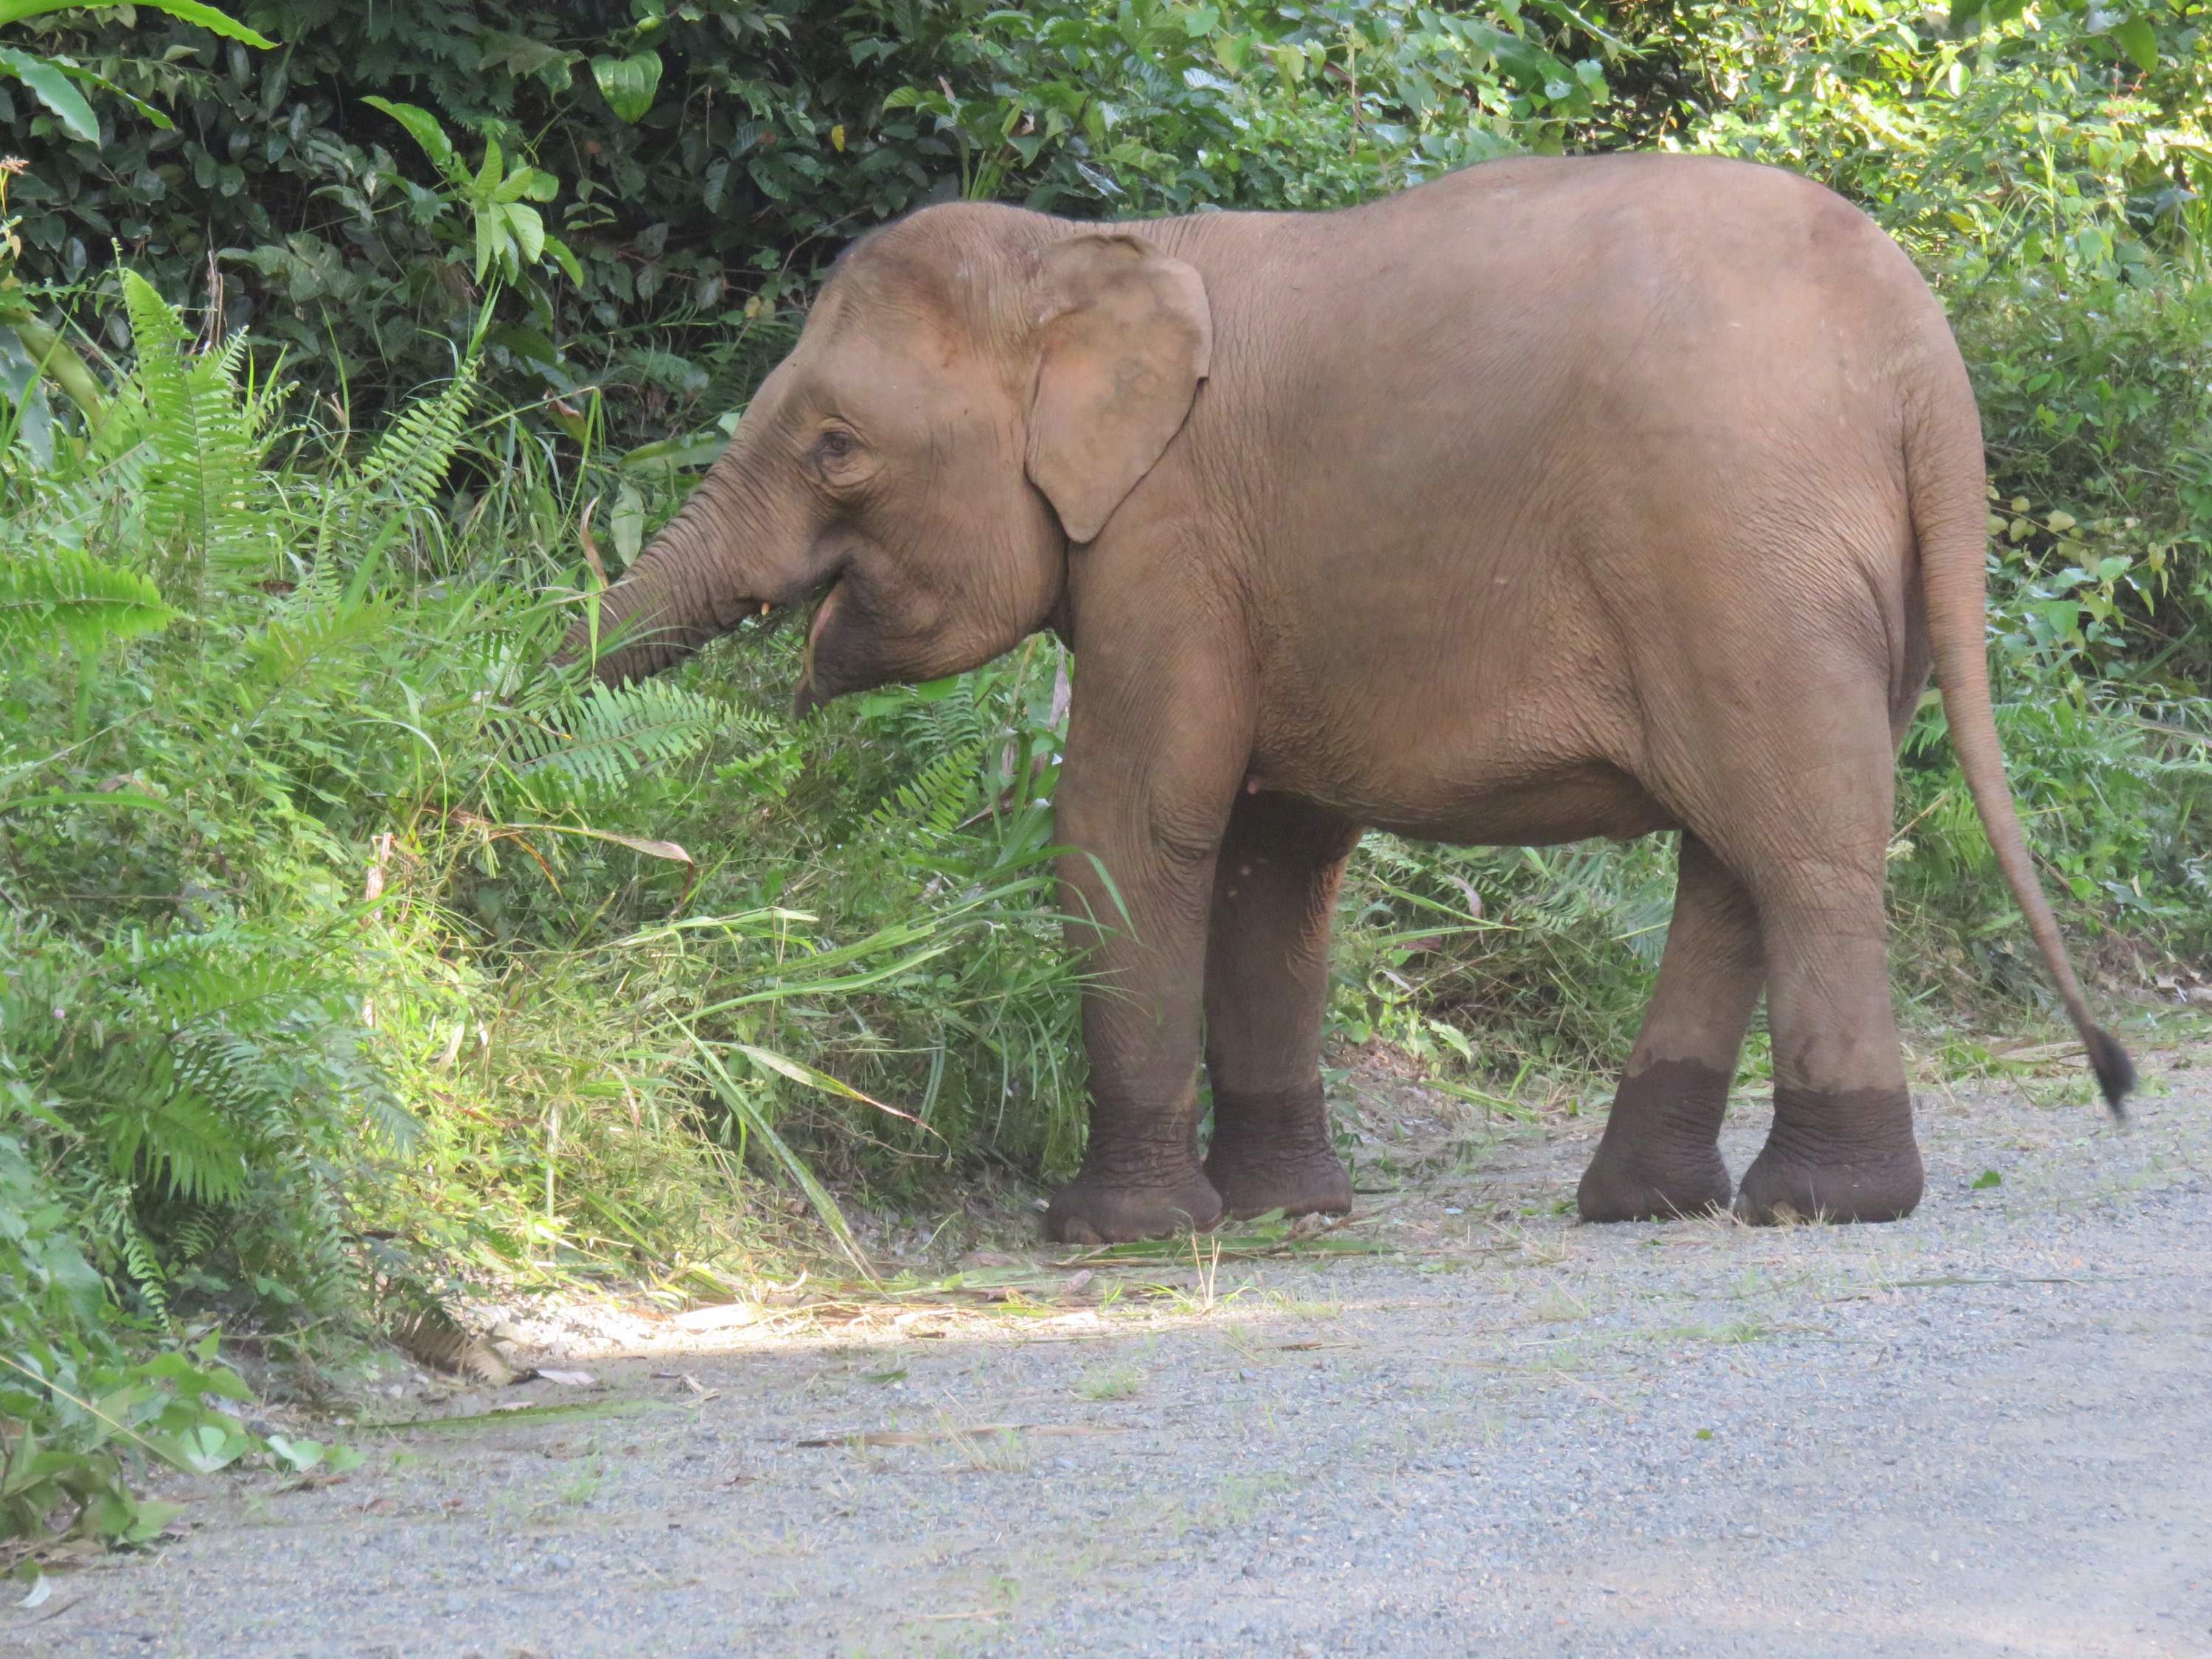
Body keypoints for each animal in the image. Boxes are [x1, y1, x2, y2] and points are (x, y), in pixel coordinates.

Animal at [568, 151, 2135, 1244]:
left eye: (836, 447)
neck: (1086, 255)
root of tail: (1926, 362)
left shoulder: (1171, 544)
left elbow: (1133, 824)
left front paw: (1117, 1234)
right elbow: (1271, 856)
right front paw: (1286, 1216)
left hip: (1741, 548)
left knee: (1794, 843)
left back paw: (1819, 1204)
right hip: (1822, 578)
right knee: (1739, 853)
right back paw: (1649, 1203)